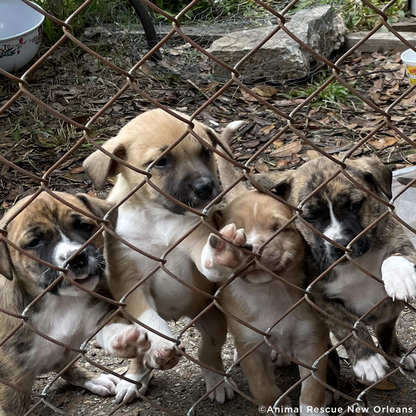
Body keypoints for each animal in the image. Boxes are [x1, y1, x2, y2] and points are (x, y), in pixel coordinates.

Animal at [0, 192, 150, 416]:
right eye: (34, 242)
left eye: (85, 226)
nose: (76, 258)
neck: (59, 303)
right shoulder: (13, 384)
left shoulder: (101, 307)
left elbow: (112, 325)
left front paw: (124, 338)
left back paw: (96, 380)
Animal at [83, 107, 236, 404]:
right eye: (162, 162)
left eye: (205, 152)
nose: (206, 187)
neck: (159, 216)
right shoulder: (130, 282)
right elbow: (150, 319)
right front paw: (162, 344)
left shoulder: (195, 241)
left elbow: (206, 258)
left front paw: (220, 253)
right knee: (137, 355)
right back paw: (134, 378)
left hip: (211, 319)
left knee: (208, 351)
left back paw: (217, 381)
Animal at [197, 128, 328, 414]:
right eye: (238, 231)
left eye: (279, 228)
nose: (252, 248)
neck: (270, 293)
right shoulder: (253, 351)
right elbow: (263, 389)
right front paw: (276, 404)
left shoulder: (312, 342)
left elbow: (312, 391)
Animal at [254, 158, 416, 384]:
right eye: (310, 217)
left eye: (354, 206)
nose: (341, 245)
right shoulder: (320, 299)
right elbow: (348, 325)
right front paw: (367, 360)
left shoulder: (395, 237)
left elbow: (397, 254)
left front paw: (401, 277)